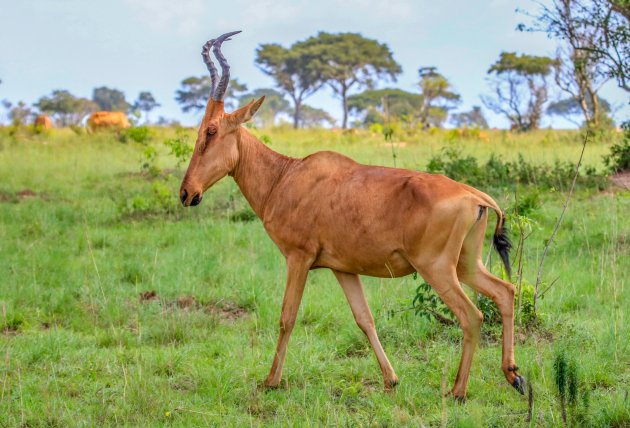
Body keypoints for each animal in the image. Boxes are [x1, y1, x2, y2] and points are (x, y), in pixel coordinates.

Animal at [180, 30, 524, 402]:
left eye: (211, 131)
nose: (187, 193)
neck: (286, 175)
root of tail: (474, 196)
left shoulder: (299, 259)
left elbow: (287, 317)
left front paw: (271, 381)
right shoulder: (343, 269)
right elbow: (364, 319)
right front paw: (391, 380)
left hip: (436, 268)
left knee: (472, 315)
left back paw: (458, 391)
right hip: (466, 264)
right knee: (505, 291)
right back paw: (513, 375)